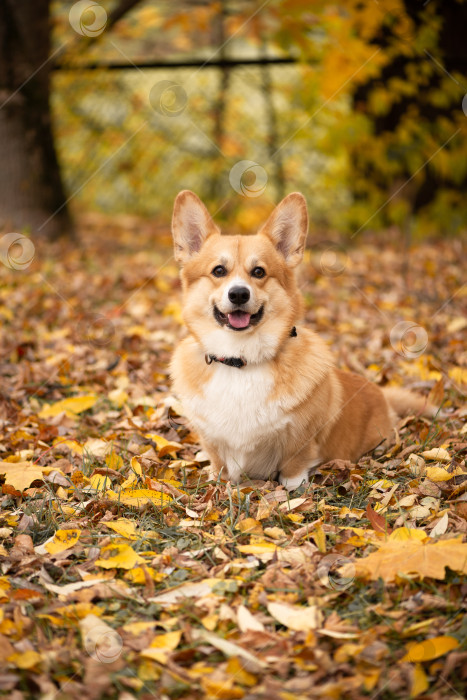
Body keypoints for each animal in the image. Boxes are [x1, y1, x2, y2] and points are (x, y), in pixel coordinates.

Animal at [171, 189, 436, 490]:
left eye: (259, 272)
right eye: (218, 271)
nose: (238, 294)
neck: (242, 359)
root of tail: (381, 393)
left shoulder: (300, 441)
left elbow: (293, 469)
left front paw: (293, 492)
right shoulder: (212, 442)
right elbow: (218, 465)